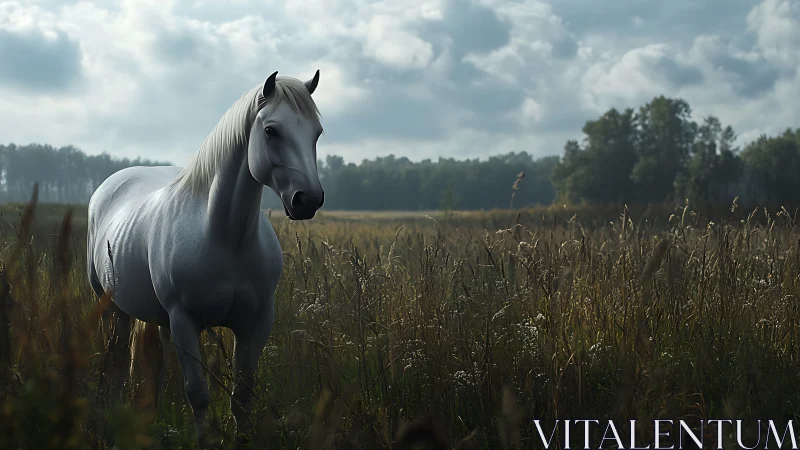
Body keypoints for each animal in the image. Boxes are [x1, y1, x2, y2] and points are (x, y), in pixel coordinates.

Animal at [86, 70, 325, 447]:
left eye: (316, 132)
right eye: (271, 131)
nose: (309, 200)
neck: (225, 237)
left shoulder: (256, 322)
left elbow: (242, 395)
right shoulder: (184, 322)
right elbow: (197, 394)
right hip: (114, 308)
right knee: (118, 360)